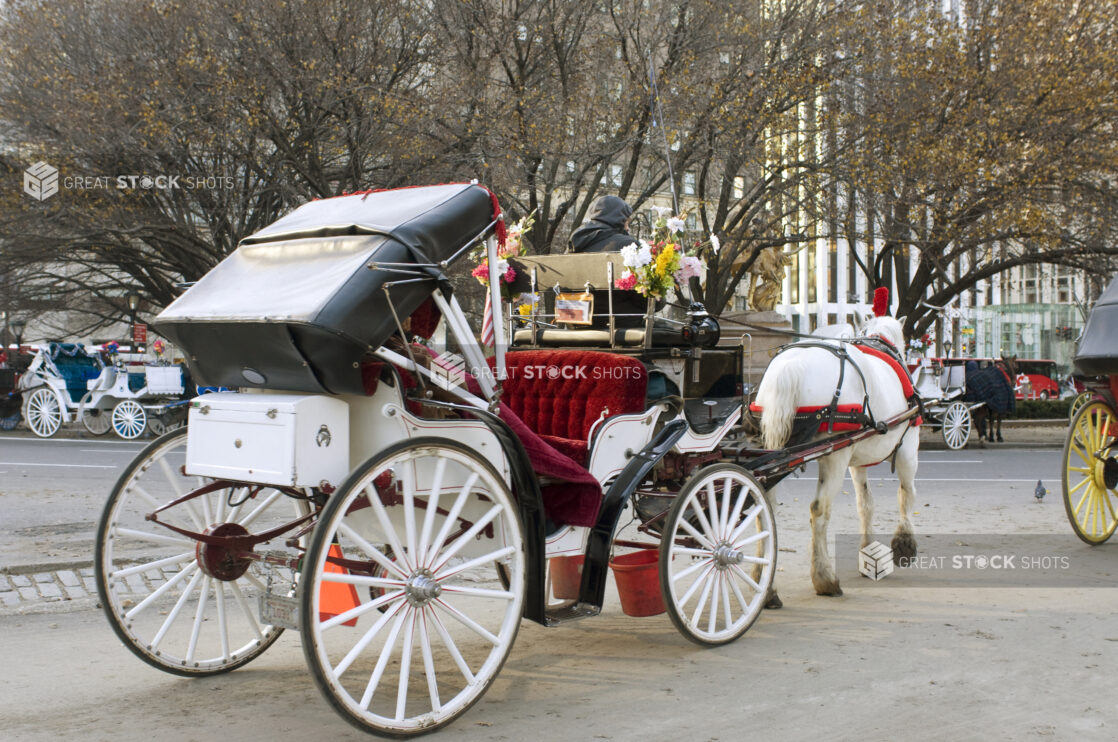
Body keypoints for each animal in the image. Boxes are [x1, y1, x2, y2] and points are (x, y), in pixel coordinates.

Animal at [755, 315, 921, 598]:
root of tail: (793, 365)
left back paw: (766, 587)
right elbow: (906, 494)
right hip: (835, 457)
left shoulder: (858, 461)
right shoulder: (908, 449)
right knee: (819, 509)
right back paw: (825, 578)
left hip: (771, 448)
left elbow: (865, 504)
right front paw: (904, 543)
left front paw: (868, 554)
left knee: (765, 505)